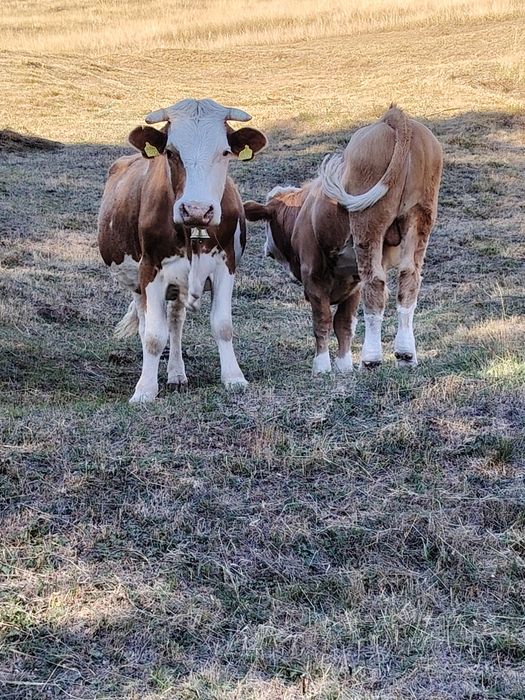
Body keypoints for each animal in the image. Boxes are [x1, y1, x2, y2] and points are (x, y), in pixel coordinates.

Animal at [98, 98, 267, 402]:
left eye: (225, 152)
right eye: (171, 152)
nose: (196, 209)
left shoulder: (226, 266)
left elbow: (222, 325)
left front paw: (234, 377)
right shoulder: (150, 270)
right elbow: (153, 336)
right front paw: (145, 390)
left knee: (176, 322)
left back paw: (176, 374)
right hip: (136, 283)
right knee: (147, 324)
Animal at [244, 106, 442, 374]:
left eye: (267, 223)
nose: (267, 248)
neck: (305, 208)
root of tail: (393, 117)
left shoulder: (313, 275)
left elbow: (323, 320)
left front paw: (322, 366)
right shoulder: (351, 284)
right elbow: (344, 324)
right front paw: (345, 365)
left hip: (368, 222)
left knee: (375, 283)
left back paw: (371, 358)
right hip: (420, 218)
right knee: (409, 281)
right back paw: (405, 353)